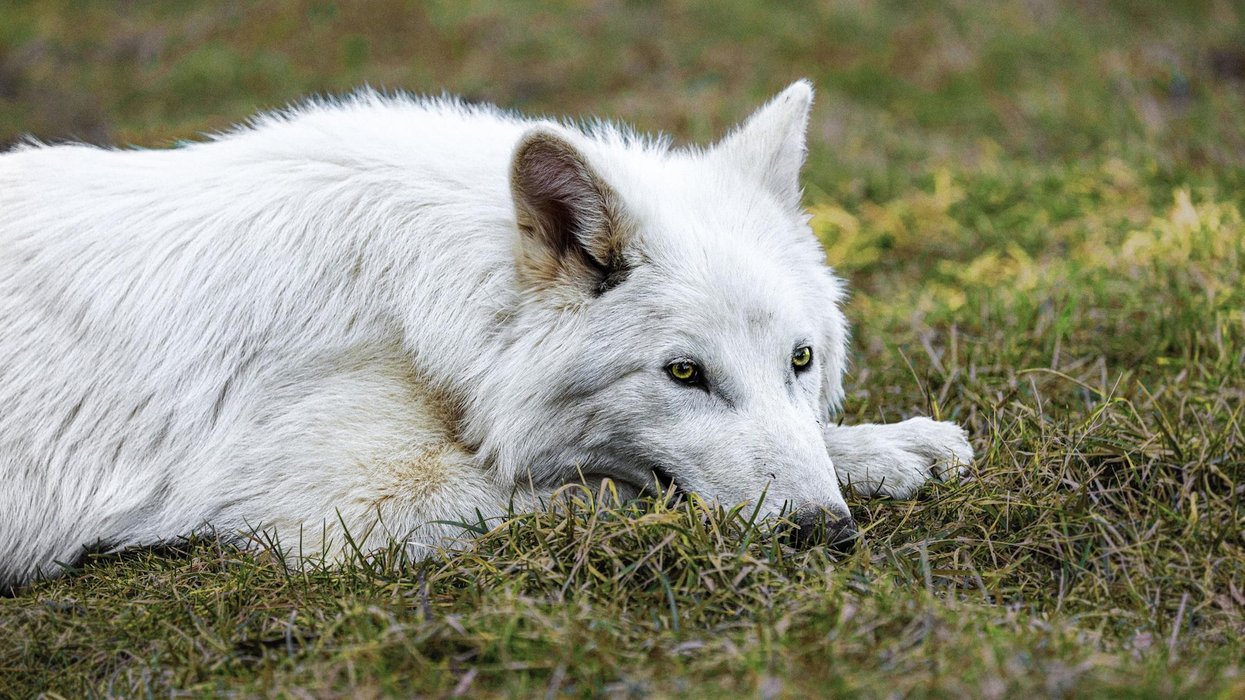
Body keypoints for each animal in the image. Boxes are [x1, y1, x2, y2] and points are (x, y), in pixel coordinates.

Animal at [0, 81, 973, 587]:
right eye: (683, 373)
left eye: (800, 361)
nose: (826, 534)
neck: (409, 300)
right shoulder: (343, 512)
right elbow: (613, 489)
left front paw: (890, 448)